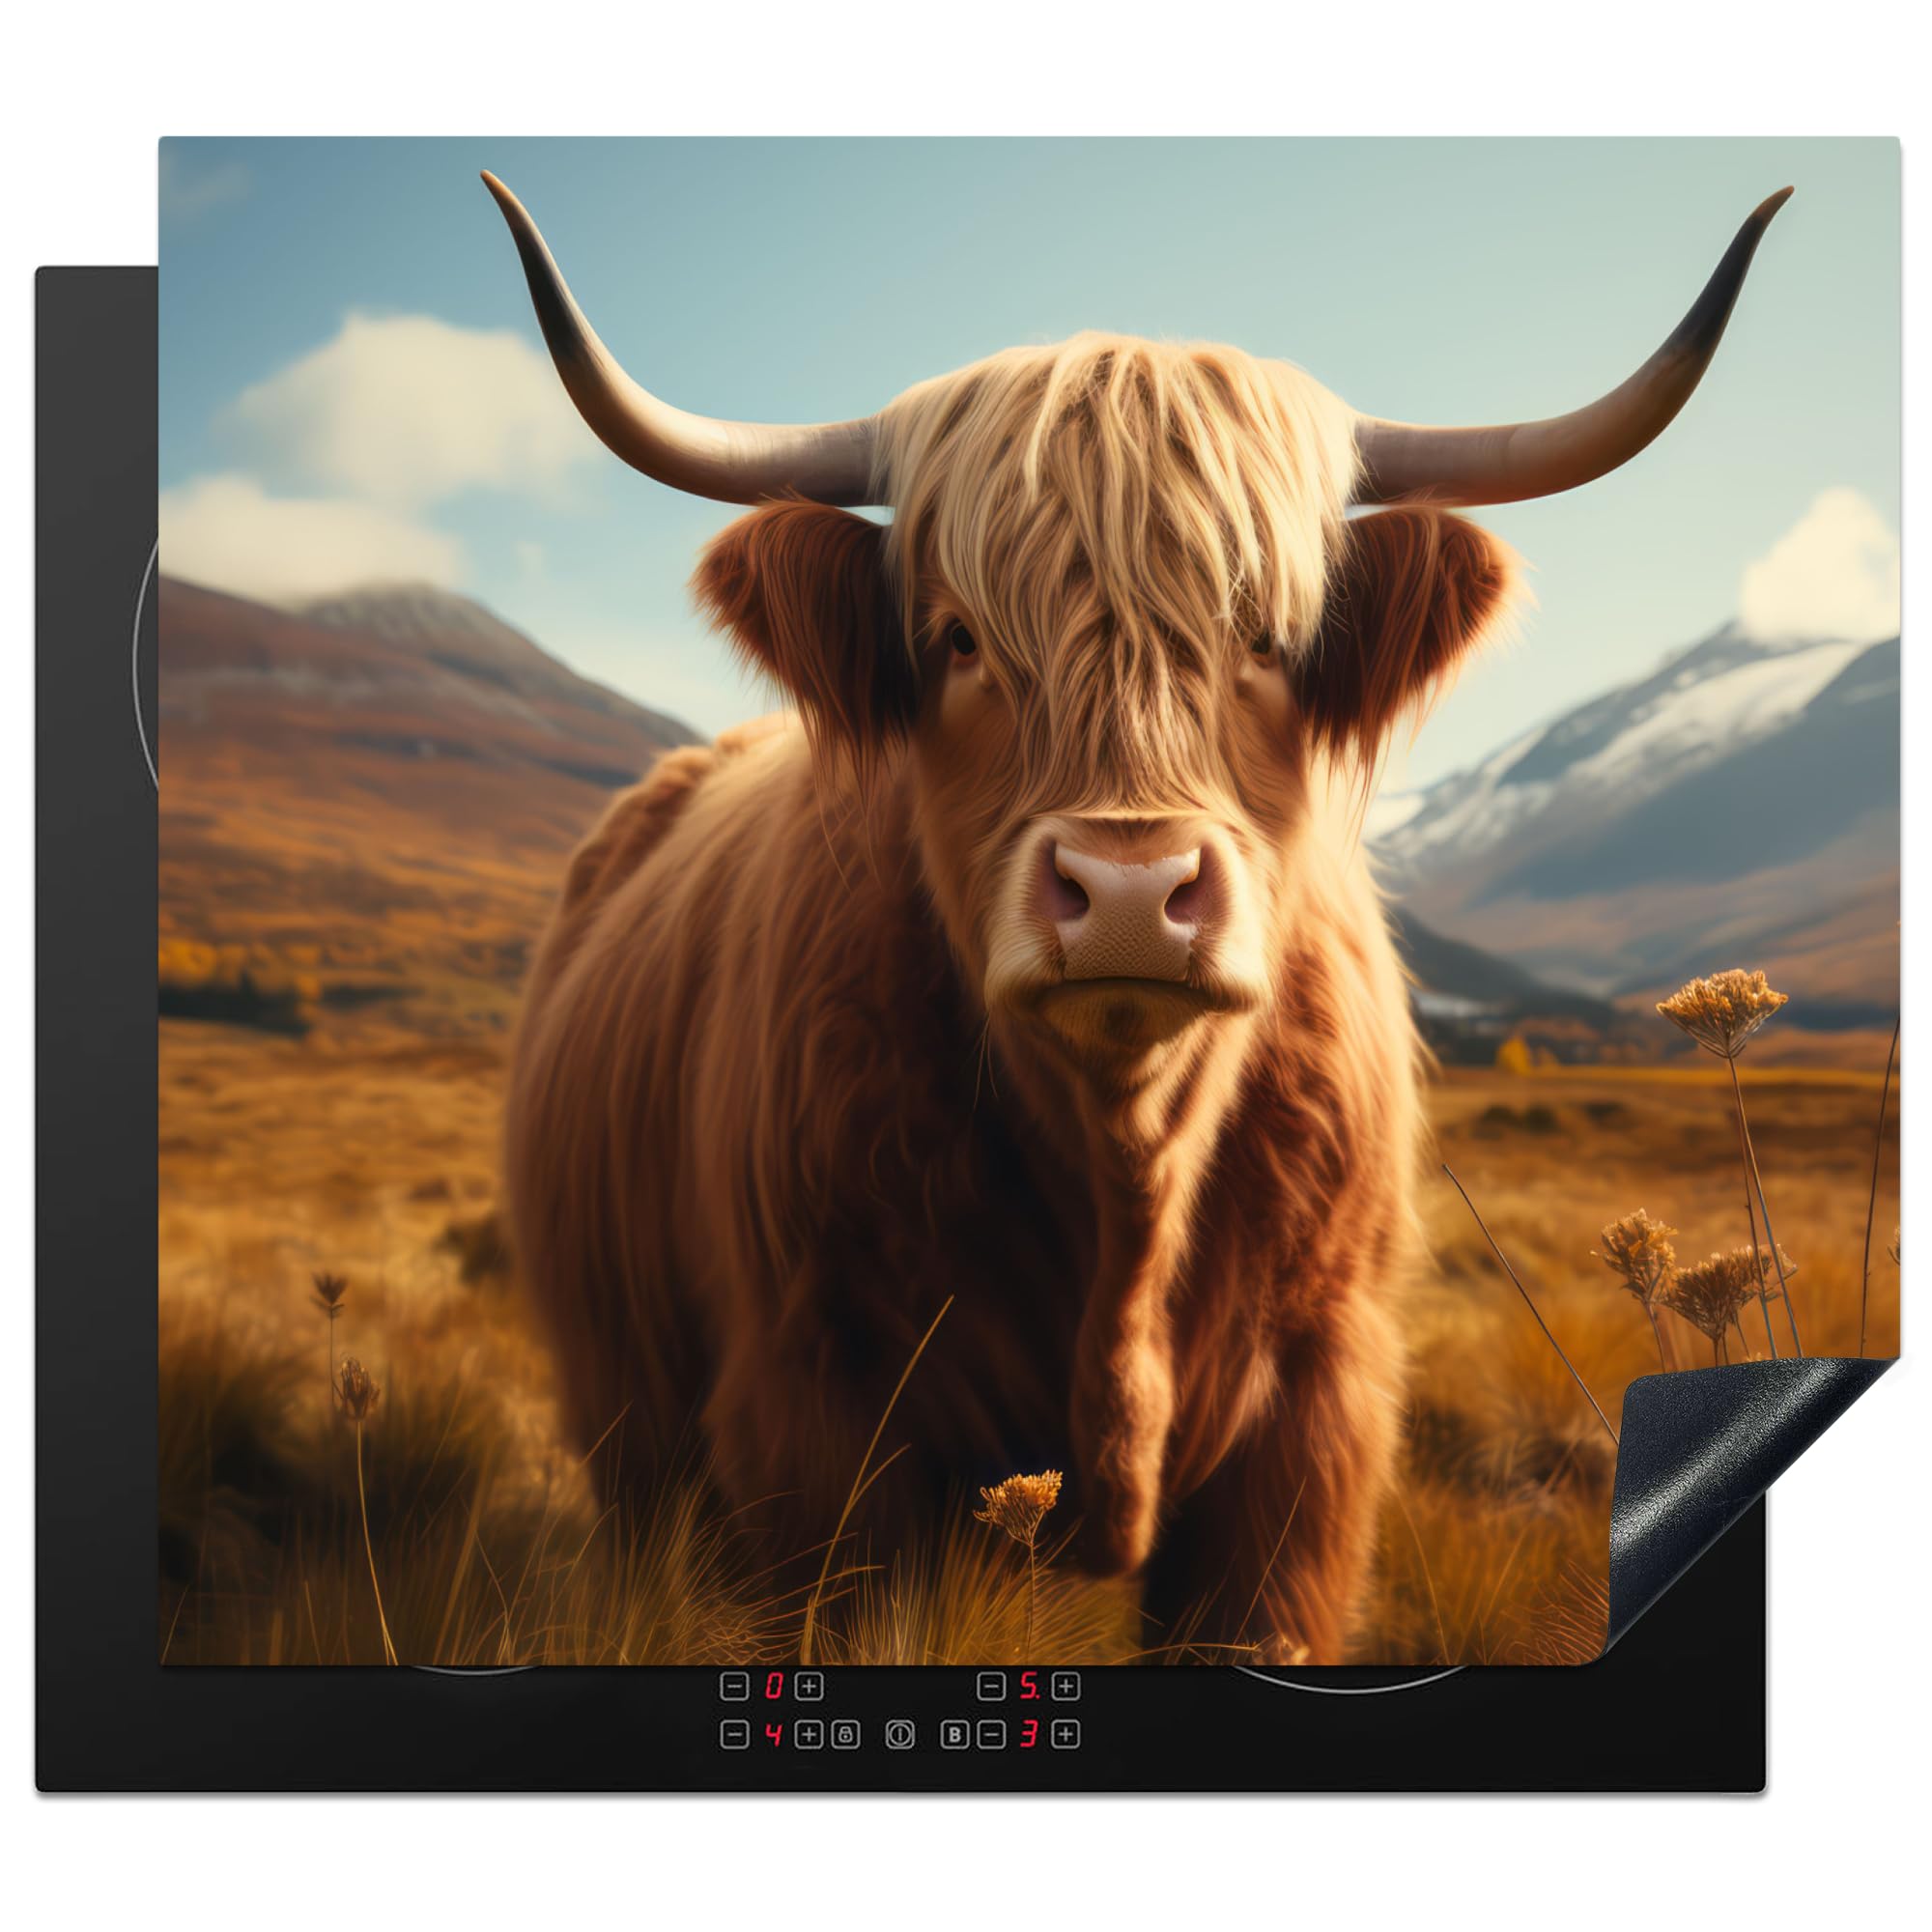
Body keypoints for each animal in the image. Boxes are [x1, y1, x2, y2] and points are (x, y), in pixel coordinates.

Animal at [486, 173, 1787, 1662]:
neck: (1125, 1164)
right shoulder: (815, 1403)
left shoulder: (1309, 1424)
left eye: (1268, 640)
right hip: (628, 1421)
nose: (1123, 895)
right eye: (957, 638)